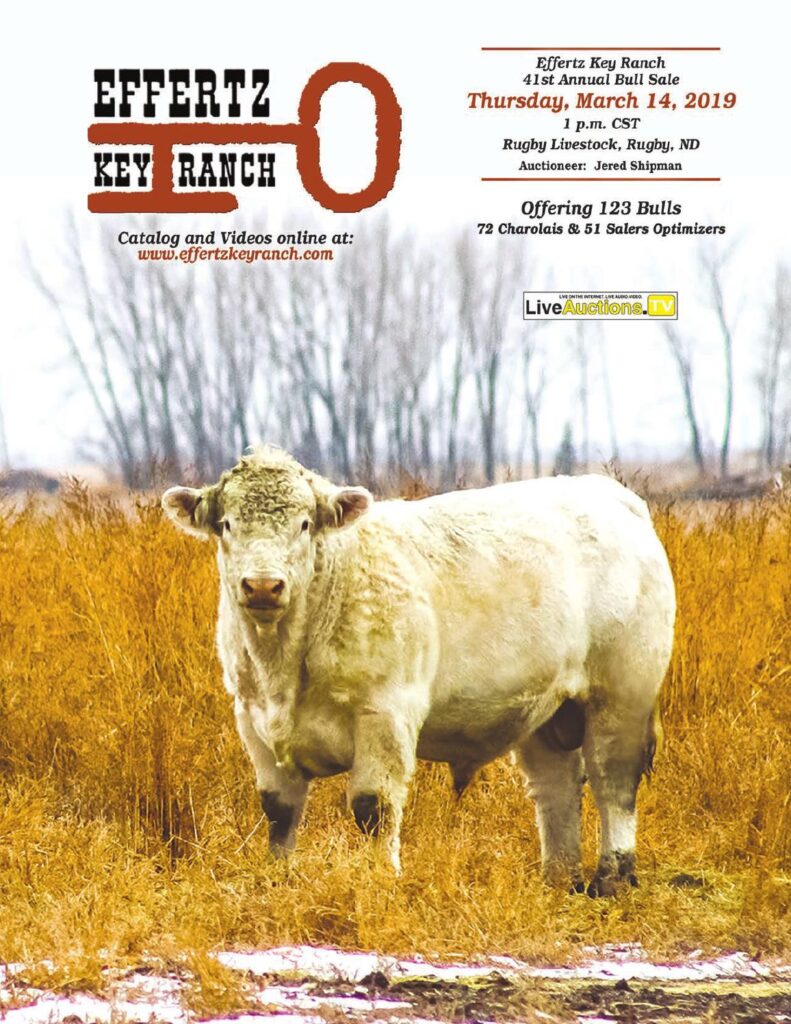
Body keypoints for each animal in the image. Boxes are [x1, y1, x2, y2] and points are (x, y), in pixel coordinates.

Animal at [162, 446, 675, 895]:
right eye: (227, 525)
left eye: (304, 524)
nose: (263, 586)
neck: (283, 669)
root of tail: (610, 494)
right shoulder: (253, 720)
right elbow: (279, 810)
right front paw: (278, 880)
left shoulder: (386, 714)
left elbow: (373, 806)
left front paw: (380, 879)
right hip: (547, 712)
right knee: (556, 788)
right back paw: (559, 879)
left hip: (621, 694)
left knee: (612, 780)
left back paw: (612, 877)